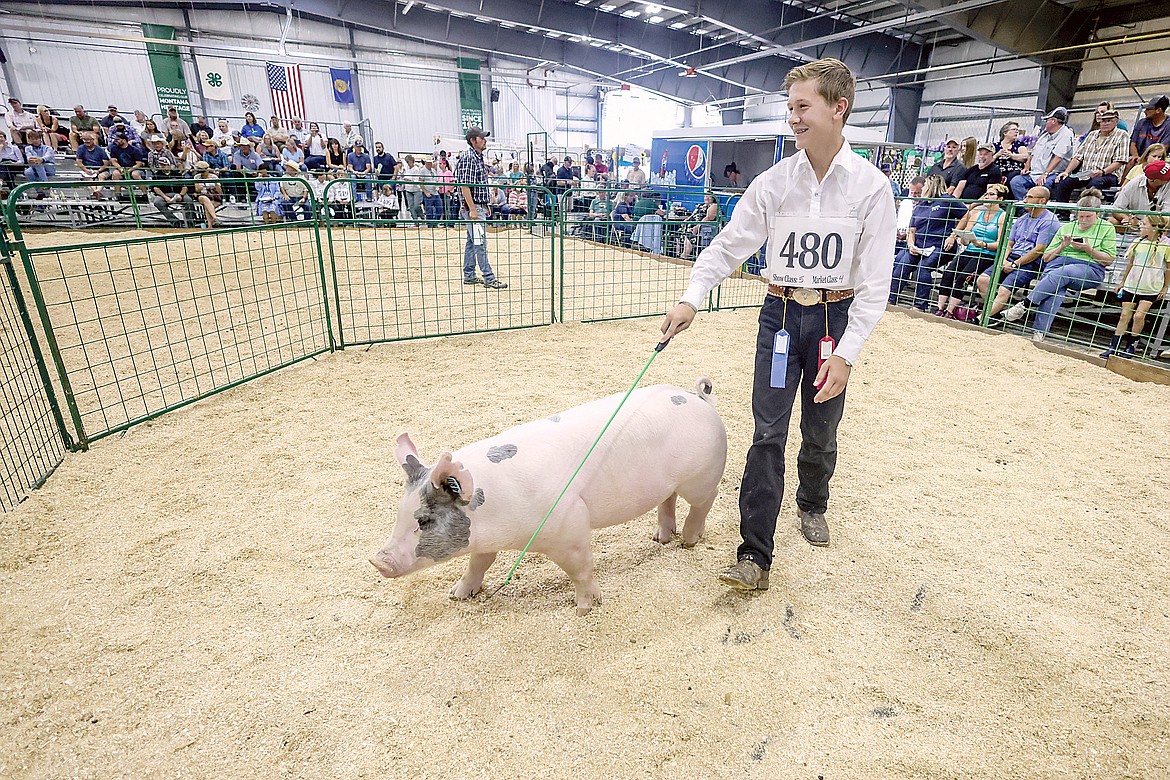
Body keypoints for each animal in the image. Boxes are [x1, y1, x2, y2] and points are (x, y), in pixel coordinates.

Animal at [369, 378, 725, 617]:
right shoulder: (485, 541)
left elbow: (580, 568)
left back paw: (688, 541)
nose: (377, 560)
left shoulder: (569, 527)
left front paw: (584, 609)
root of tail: (697, 397)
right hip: (671, 483)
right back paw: (661, 539)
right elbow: (479, 563)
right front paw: (457, 595)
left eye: (424, 521)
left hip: (702, 476)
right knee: (668, 500)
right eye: (399, 513)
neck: (492, 507)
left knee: (703, 502)